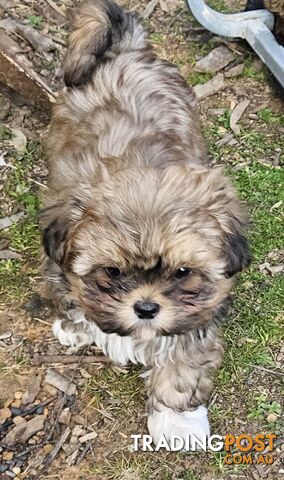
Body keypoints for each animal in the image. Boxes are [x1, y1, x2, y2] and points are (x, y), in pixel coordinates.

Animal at [41, 0, 250, 446]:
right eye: (112, 271)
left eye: (182, 272)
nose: (147, 308)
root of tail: (126, 51)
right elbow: (69, 295)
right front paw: (75, 326)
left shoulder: (197, 313)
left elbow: (182, 363)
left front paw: (177, 422)